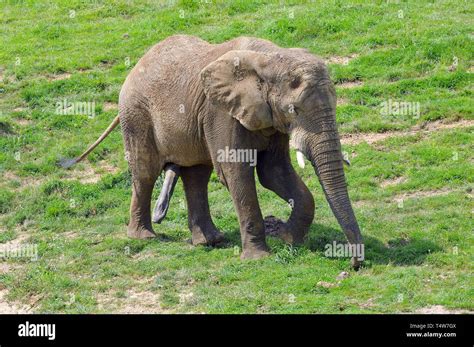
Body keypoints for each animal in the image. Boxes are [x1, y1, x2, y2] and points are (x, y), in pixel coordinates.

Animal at [63, 35, 364, 270]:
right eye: (295, 110)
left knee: (196, 175)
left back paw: (210, 241)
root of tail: (137, 64)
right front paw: (260, 258)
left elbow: (274, 172)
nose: (353, 264)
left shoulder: (268, 116)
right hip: (136, 114)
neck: (271, 57)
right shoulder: (220, 111)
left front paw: (287, 238)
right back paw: (145, 237)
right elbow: (236, 172)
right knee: (146, 172)